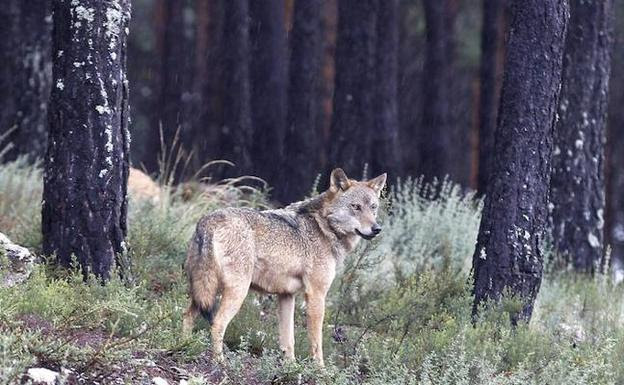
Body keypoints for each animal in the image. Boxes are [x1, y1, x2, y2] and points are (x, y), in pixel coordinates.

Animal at [182, 167, 386, 364]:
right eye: (356, 207)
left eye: (373, 207)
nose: (377, 229)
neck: (324, 227)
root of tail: (209, 220)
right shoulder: (316, 295)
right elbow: (316, 343)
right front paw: (320, 370)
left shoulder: (286, 295)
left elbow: (288, 340)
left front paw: (291, 367)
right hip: (235, 292)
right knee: (217, 324)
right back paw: (221, 362)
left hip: (205, 291)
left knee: (187, 316)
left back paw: (185, 347)